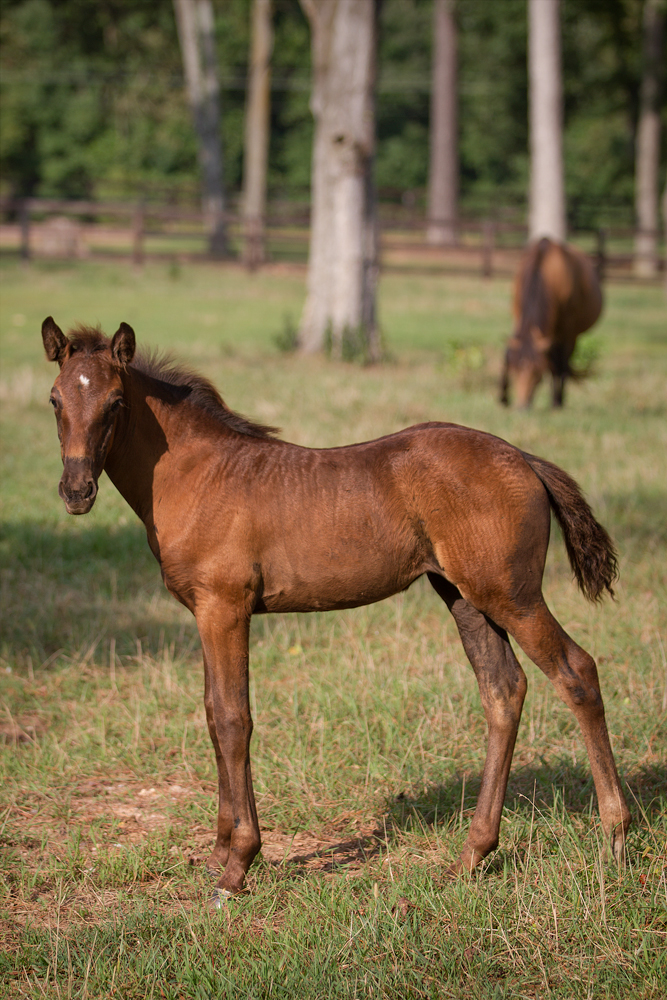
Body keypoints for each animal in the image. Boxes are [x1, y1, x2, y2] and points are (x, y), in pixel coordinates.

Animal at [43, 318, 632, 908]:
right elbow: (212, 715)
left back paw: (615, 839)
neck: (196, 472)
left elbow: (234, 720)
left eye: (116, 402)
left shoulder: (225, 607)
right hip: (466, 598)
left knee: (577, 673)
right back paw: (472, 855)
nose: (76, 491)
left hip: (512, 596)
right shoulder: (204, 613)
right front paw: (216, 853)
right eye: (55, 399)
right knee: (503, 691)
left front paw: (237, 866)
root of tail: (524, 459)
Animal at [500, 239, 604, 410]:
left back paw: (558, 400)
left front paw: (556, 402)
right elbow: (508, 351)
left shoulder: (566, 329)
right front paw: (502, 398)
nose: (522, 408)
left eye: (538, 374)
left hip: (569, 335)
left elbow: (560, 364)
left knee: (562, 363)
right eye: (514, 370)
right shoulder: (518, 314)